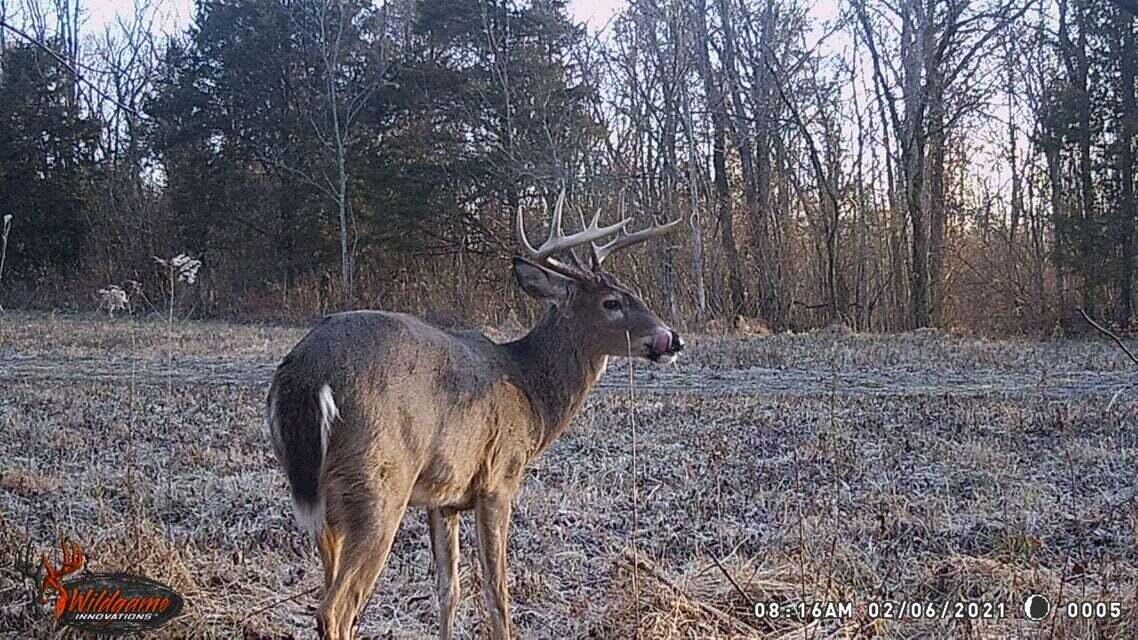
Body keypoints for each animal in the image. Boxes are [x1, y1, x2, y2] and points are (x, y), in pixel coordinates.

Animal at [267, 189, 683, 640]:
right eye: (611, 302)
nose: (672, 339)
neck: (531, 391)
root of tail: (307, 372)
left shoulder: (443, 497)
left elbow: (448, 590)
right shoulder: (498, 479)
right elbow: (496, 592)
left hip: (323, 500)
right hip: (377, 482)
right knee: (336, 608)